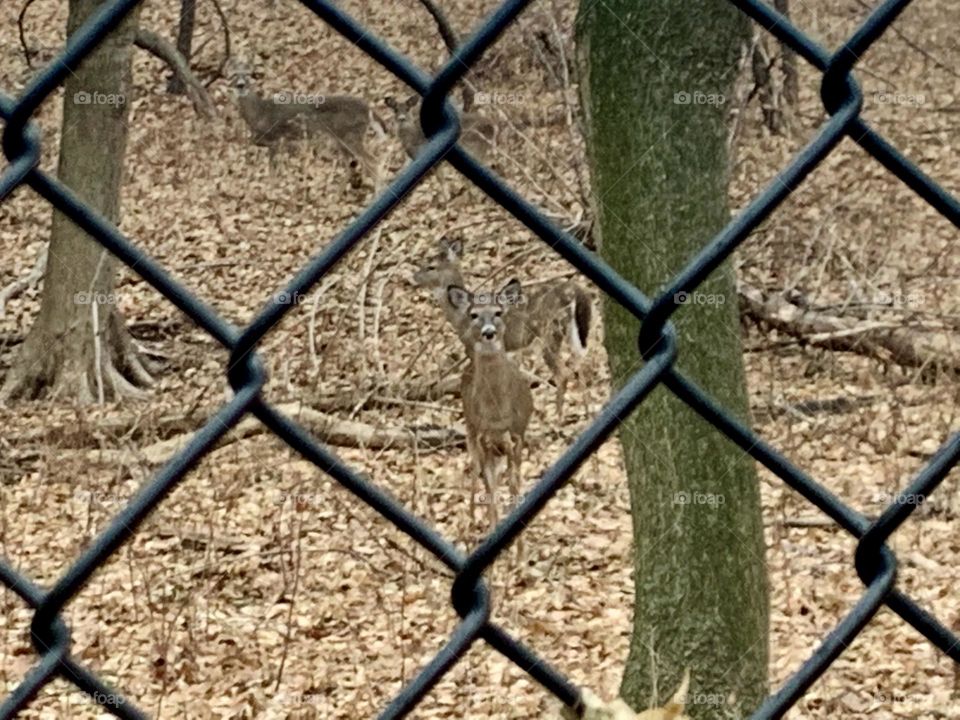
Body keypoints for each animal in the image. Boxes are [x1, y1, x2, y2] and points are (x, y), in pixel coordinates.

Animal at [226, 60, 380, 189]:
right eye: (233, 75)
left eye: (249, 75)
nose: (241, 85)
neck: (258, 113)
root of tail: (368, 109)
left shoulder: (276, 140)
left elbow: (272, 171)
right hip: (341, 140)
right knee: (352, 165)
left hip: (351, 136)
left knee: (372, 161)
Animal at [413, 237, 592, 416]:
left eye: (431, 266)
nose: (414, 276)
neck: (460, 316)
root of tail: (575, 291)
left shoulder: (475, 348)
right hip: (572, 330)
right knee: (580, 364)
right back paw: (585, 411)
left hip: (549, 331)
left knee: (563, 373)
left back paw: (557, 416)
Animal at [448, 283, 533, 530]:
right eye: (474, 314)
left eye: (498, 312)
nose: (488, 332)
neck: (497, 411)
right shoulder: (483, 435)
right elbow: (490, 487)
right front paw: (493, 526)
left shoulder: (518, 431)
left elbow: (514, 483)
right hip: (472, 431)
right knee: (477, 475)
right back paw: (471, 521)